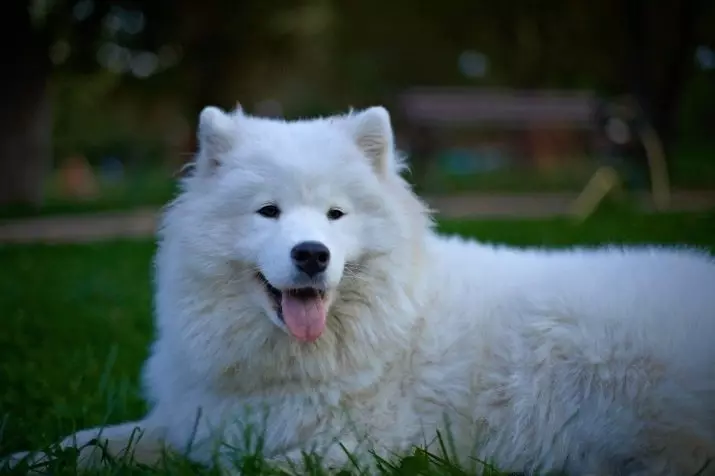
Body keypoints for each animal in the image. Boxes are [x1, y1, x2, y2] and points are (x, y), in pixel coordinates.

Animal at [5, 105, 715, 476]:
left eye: (336, 215)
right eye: (268, 211)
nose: (312, 254)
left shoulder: (364, 447)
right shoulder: (197, 417)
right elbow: (93, 440)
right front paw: (29, 458)